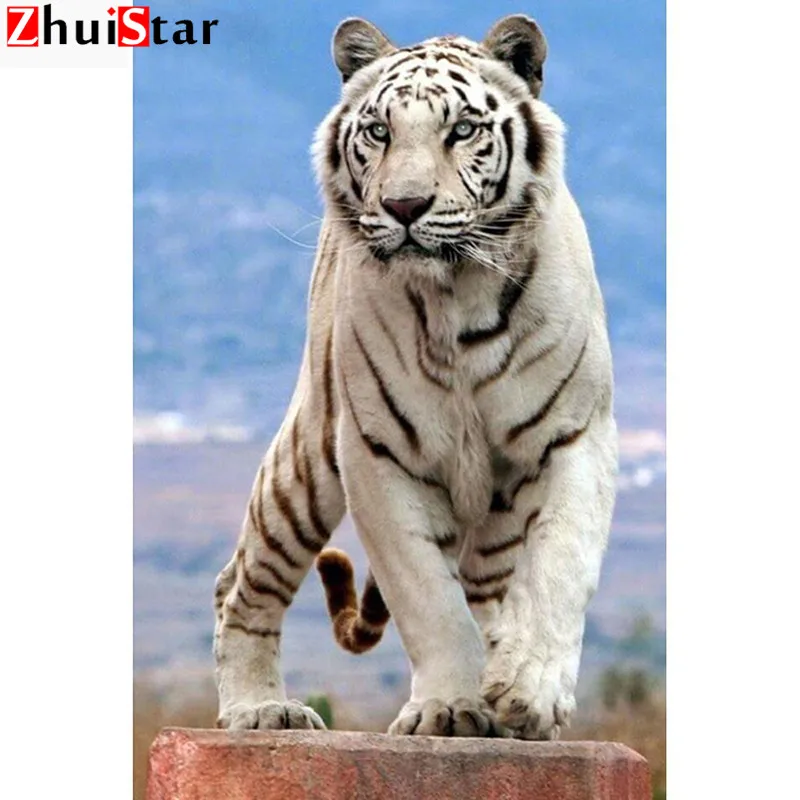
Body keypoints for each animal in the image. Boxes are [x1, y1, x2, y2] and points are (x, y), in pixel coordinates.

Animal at [213, 14, 618, 741]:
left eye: (463, 129)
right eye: (379, 131)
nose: (404, 205)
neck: (458, 296)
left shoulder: (576, 437)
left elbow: (558, 567)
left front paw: (529, 692)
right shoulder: (376, 453)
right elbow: (428, 597)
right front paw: (450, 707)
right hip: (307, 459)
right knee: (241, 580)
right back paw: (260, 709)